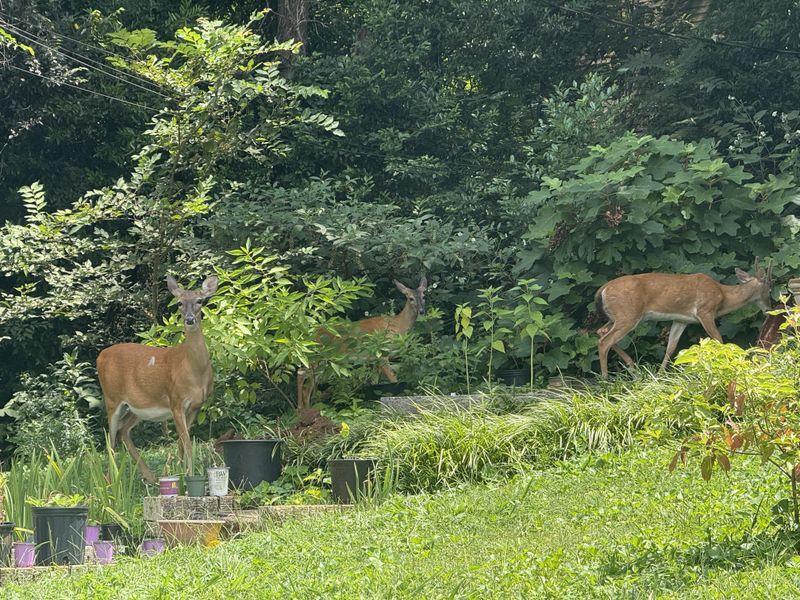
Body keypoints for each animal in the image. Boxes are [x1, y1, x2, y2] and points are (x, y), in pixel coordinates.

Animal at [97, 275, 218, 482]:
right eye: (179, 303)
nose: (189, 319)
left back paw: (150, 477)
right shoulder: (176, 401)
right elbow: (187, 443)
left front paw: (181, 472)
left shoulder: (196, 405)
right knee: (110, 441)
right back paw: (111, 482)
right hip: (111, 398)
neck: (194, 371)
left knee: (123, 431)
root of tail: (100, 356)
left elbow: (181, 442)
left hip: (137, 406)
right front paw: (190, 474)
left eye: (200, 301)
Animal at [296, 276, 428, 410]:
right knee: (301, 375)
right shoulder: (382, 353)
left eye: (423, 296)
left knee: (306, 382)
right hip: (317, 357)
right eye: (410, 298)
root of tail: (309, 333)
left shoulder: (375, 359)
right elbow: (393, 379)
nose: (422, 311)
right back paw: (302, 408)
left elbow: (375, 382)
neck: (398, 326)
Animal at [595, 260, 772, 378]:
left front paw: (659, 376)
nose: (769, 308)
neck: (724, 296)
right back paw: (605, 378)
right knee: (604, 341)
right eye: (770, 289)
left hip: (617, 316)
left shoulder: (682, 320)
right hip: (628, 315)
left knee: (600, 331)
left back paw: (633, 368)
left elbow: (671, 347)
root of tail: (602, 290)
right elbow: (719, 340)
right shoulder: (705, 311)